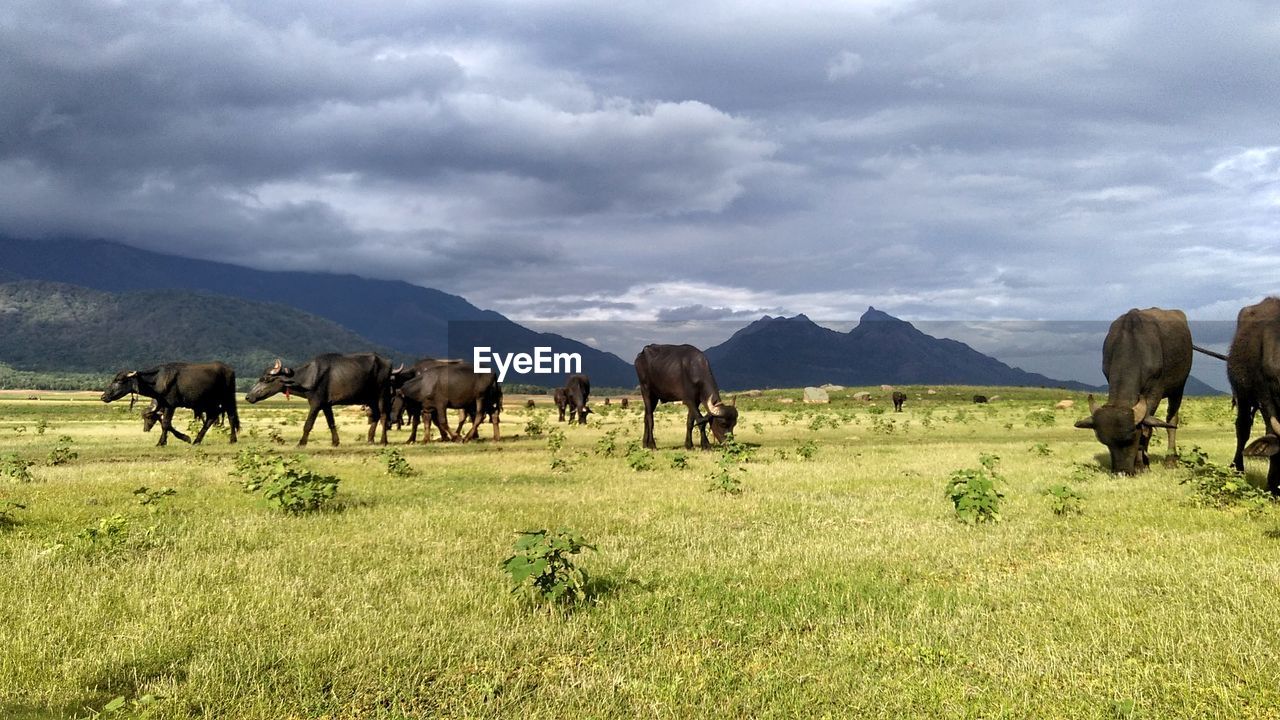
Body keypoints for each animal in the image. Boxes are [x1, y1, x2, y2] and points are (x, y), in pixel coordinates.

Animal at [101, 361, 239, 446]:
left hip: (228, 399)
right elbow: (166, 424)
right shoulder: (163, 405)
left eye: (119, 380)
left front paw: (165, 441)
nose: (103, 396)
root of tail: (230, 370)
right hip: (209, 403)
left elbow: (166, 423)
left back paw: (232, 439)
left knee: (231, 417)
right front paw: (167, 441)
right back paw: (197, 440)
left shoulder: (170, 405)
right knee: (212, 417)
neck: (157, 381)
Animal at [245, 353, 392, 446]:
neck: (309, 377)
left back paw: (383, 441)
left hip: (381, 394)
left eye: (265, 379)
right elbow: (331, 423)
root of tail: (388, 363)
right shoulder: (326, 405)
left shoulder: (316, 403)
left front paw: (301, 443)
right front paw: (335, 442)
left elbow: (308, 425)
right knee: (376, 416)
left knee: (384, 416)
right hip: (371, 399)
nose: (248, 397)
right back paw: (370, 439)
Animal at [1074, 307, 1190, 474]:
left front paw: (1141, 465)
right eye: (1106, 442)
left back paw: (1170, 460)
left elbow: (1147, 429)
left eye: (1132, 439)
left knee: (1171, 420)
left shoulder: (1155, 391)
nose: (1121, 472)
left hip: (1178, 388)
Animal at [1226, 297, 1280, 494]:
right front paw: (1272, 485)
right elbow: (1272, 431)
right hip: (1242, 393)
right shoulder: (1264, 394)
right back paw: (1237, 468)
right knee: (1242, 427)